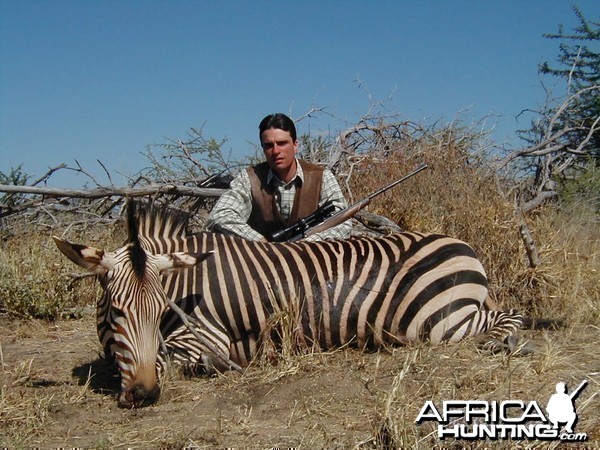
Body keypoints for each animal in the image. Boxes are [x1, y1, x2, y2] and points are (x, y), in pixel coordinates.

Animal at [55, 202, 524, 410]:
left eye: (159, 310)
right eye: (117, 311)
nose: (144, 395)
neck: (189, 281)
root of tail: (461, 244)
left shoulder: (207, 335)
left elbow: (171, 358)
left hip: (438, 321)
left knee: (506, 316)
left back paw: (502, 344)